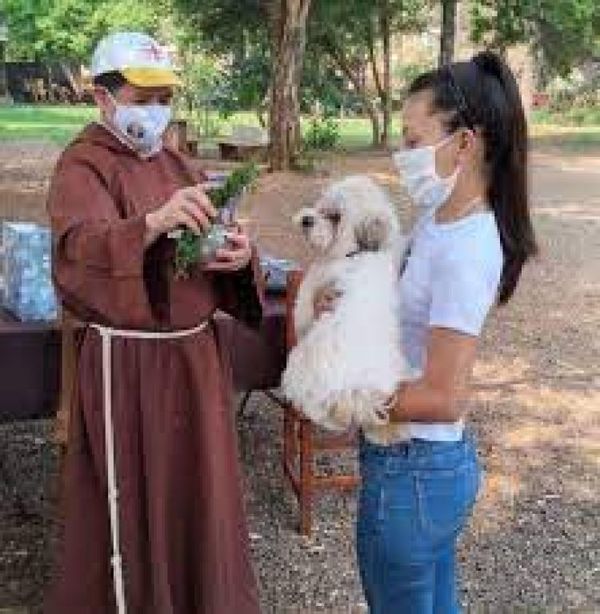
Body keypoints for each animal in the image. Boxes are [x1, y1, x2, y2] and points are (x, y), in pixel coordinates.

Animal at [282, 176, 418, 446]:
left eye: (335, 216)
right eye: (321, 206)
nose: (307, 219)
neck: (355, 253)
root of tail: (354, 389)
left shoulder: (314, 282)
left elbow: (302, 309)